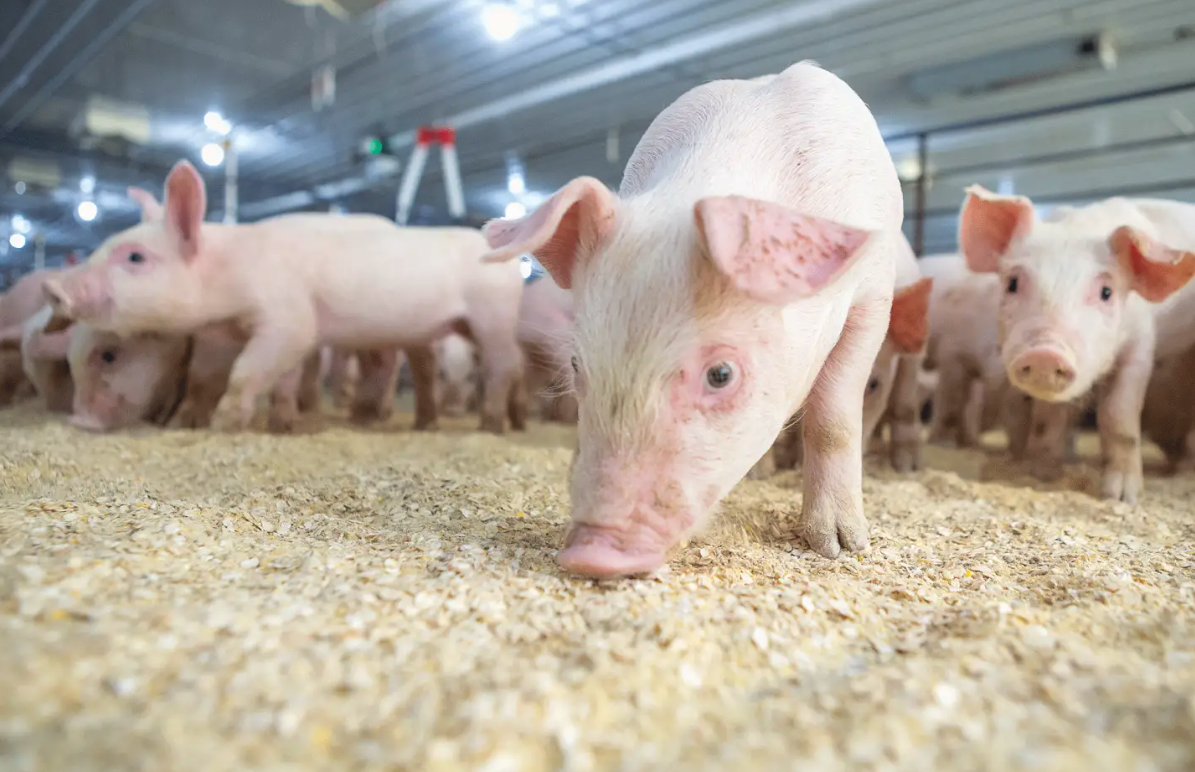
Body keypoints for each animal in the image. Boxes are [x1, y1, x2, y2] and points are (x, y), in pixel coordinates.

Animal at [44, 161, 528, 434]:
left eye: (135, 257)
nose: (54, 288)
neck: (229, 274)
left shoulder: (289, 318)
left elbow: (247, 370)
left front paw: (225, 426)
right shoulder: (238, 334)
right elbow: (237, 377)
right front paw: (268, 424)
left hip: (493, 315)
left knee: (503, 364)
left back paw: (491, 426)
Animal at [475, 60, 903, 578]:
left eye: (721, 374)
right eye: (577, 365)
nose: (591, 554)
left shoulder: (874, 295)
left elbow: (834, 417)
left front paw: (839, 547)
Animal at [956, 186, 1195, 501]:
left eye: (1106, 292)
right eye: (1012, 283)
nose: (1045, 353)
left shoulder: (1142, 342)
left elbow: (1119, 414)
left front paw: (1122, 496)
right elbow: (1049, 418)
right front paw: (1040, 475)